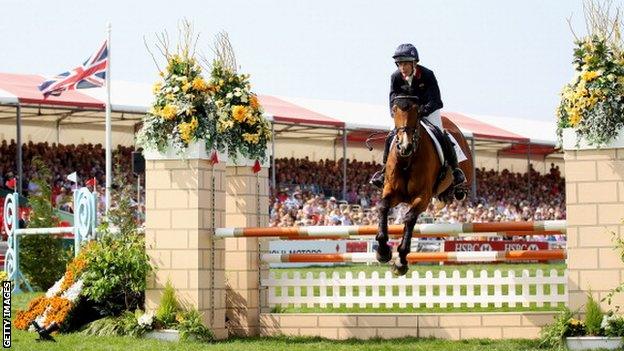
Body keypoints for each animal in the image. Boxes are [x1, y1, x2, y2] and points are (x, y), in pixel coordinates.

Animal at [376, 97, 472, 278]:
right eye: (395, 111)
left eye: (416, 113)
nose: (405, 146)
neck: (407, 160)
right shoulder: (392, 192)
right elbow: (383, 207)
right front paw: (383, 251)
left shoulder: (422, 197)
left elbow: (409, 218)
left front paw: (401, 261)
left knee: (457, 189)